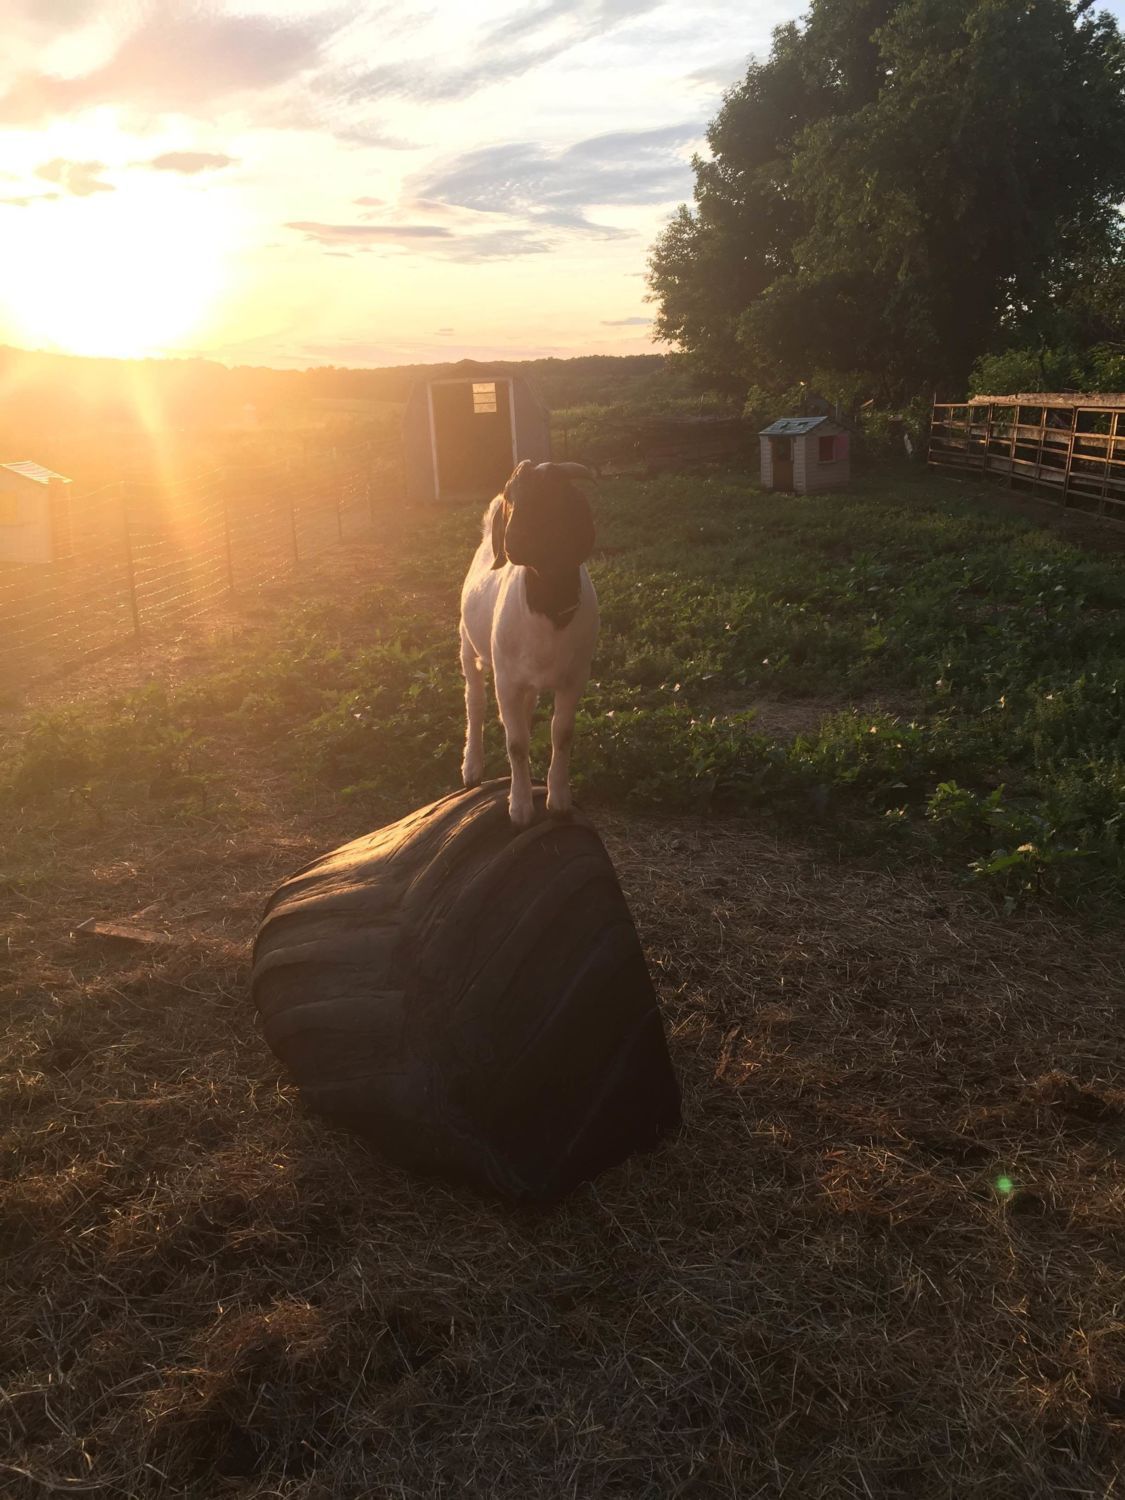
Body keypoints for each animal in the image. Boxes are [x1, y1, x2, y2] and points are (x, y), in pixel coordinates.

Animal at [460, 459, 599, 829]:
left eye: (551, 496)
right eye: (512, 497)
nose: (513, 541)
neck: (548, 602)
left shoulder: (575, 677)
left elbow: (561, 733)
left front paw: (559, 799)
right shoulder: (506, 680)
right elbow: (517, 743)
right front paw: (520, 807)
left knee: (521, 712)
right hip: (469, 648)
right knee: (475, 703)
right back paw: (472, 767)